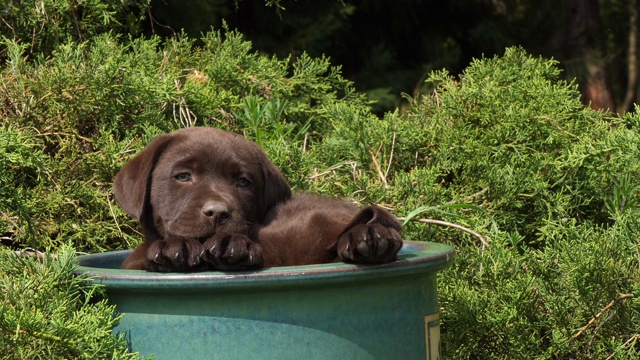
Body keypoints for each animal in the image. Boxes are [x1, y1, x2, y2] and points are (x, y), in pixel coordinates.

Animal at [113, 128, 402, 272]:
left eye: (243, 182)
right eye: (183, 176)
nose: (218, 212)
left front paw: (231, 245)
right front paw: (176, 249)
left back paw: (369, 237)